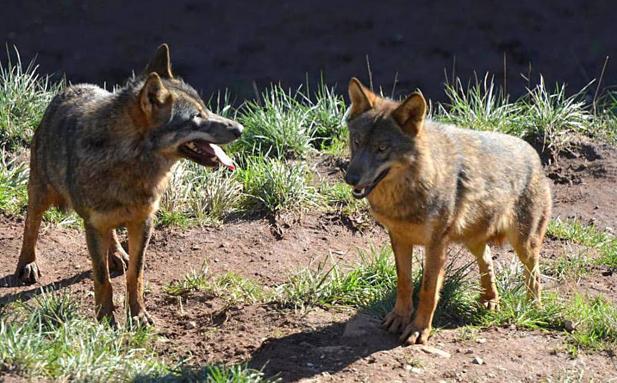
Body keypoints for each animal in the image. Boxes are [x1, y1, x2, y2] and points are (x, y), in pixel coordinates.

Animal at [344, 78, 552, 344]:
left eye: (382, 148)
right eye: (357, 142)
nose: (350, 178)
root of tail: (533, 152)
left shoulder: (435, 246)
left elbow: (428, 290)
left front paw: (419, 329)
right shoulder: (399, 238)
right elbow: (404, 282)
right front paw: (399, 318)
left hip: (524, 244)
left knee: (534, 275)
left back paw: (533, 308)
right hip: (473, 239)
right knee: (487, 260)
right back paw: (490, 300)